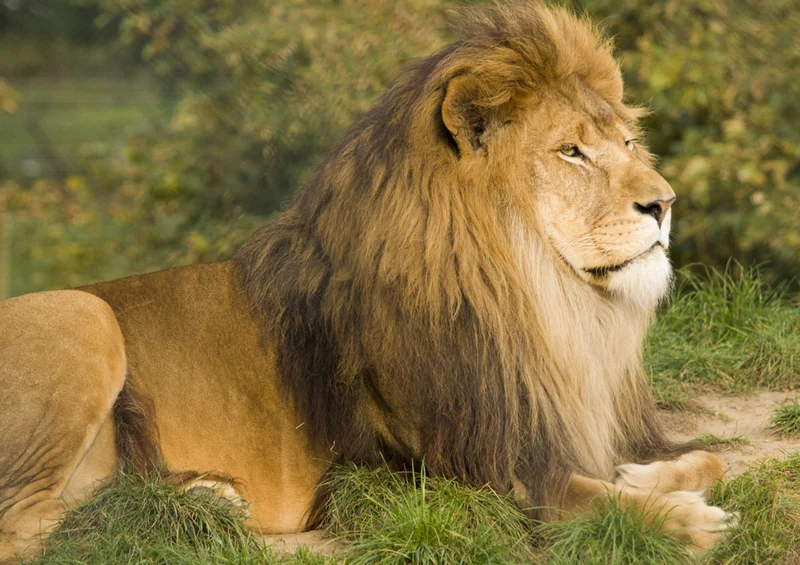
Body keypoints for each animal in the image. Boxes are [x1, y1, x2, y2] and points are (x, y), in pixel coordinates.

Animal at [0, 2, 736, 562]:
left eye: (628, 143)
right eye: (571, 152)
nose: (665, 203)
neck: (548, 305)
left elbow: (709, 457)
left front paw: (647, 476)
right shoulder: (464, 472)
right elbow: (589, 502)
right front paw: (685, 520)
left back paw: (200, 498)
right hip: (82, 314)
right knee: (29, 526)